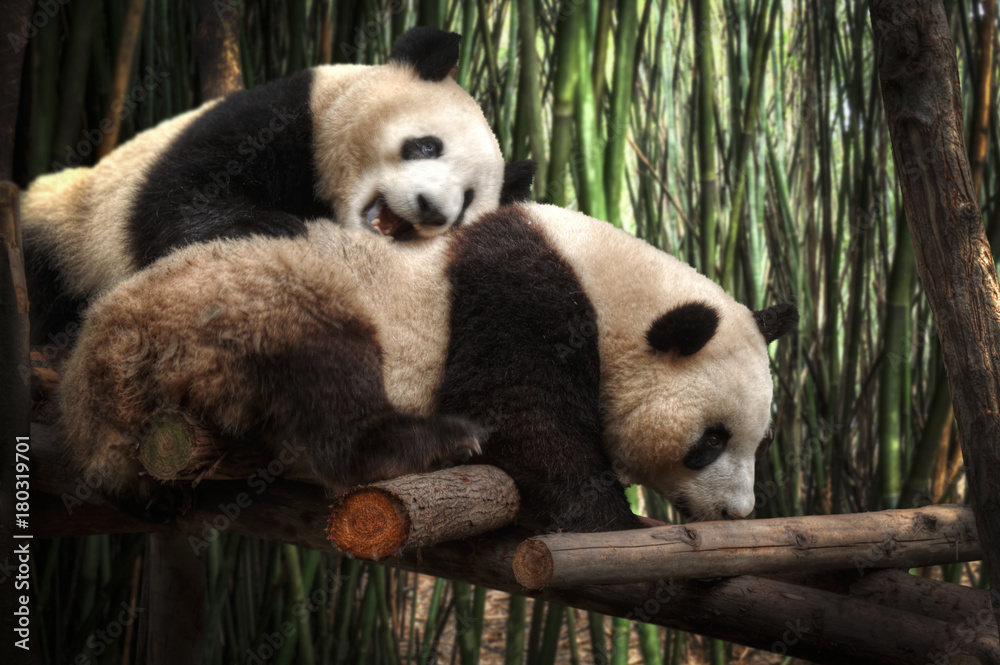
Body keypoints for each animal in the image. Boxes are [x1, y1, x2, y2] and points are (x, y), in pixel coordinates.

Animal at [23, 26, 534, 345]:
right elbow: (183, 194)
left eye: (467, 202)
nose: (433, 210)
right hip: (65, 228)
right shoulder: (279, 115)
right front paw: (273, 224)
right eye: (427, 146)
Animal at [58, 202, 796, 532]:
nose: (735, 512)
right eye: (710, 442)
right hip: (230, 306)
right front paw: (613, 520)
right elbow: (520, 418)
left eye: (761, 442)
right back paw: (430, 443)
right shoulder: (516, 295)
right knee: (325, 365)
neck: (608, 283)